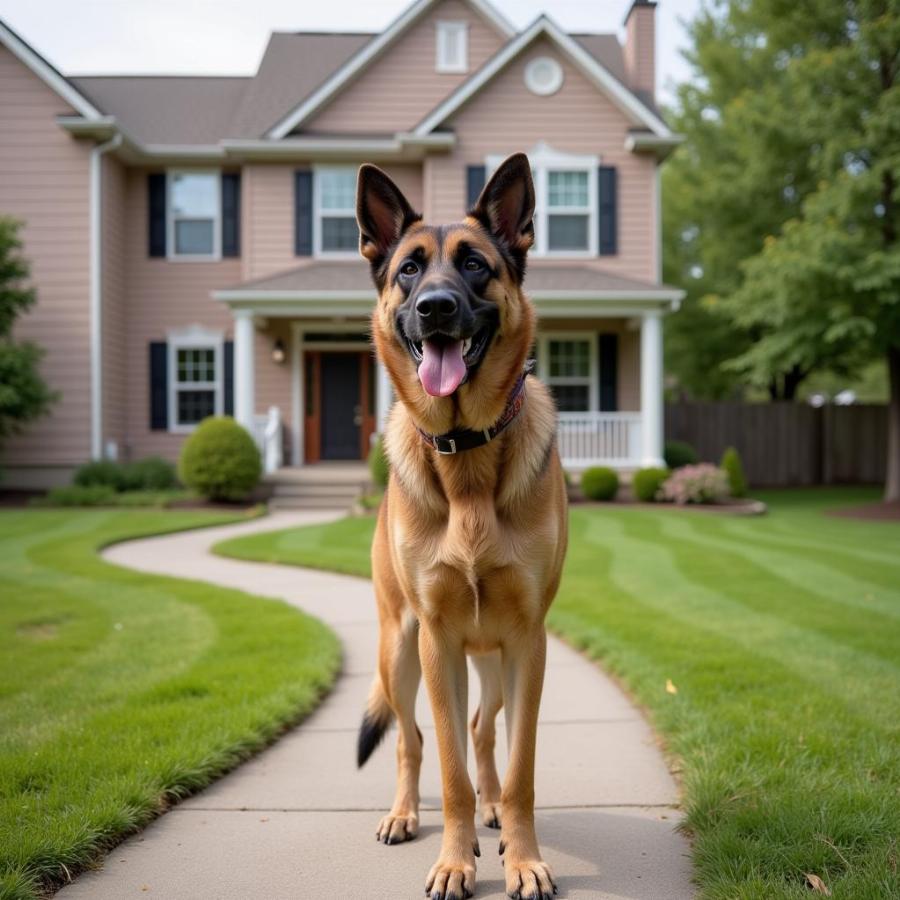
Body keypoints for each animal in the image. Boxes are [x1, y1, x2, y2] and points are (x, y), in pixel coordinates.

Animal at [356, 155, 568, 900]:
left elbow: (522, 766)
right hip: (399, 649)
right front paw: (454, 860)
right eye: (409, 270)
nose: (436, 308)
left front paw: (524, 858)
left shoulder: (529, 644)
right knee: (410, 739)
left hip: (496, 665)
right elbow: (445, 767)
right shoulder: (438, 640)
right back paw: (402, 814)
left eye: (475, 265)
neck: (468, 453)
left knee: (482, 732)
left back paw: (494, 811)